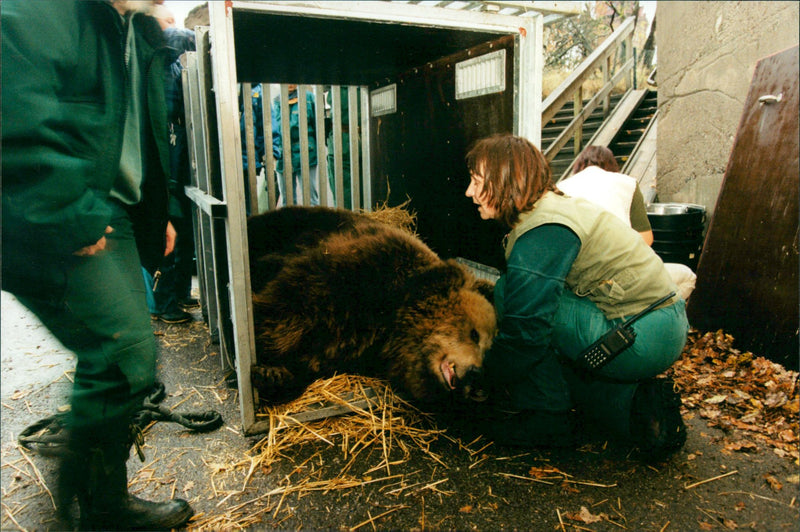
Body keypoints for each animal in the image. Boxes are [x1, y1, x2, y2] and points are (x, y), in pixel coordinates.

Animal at [250, 206, 496, 406]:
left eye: (487, 352)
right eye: (474, 334)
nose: (475, 373)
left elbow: (314, 360)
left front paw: (275, 376)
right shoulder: (361, 268)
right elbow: (288, 305)